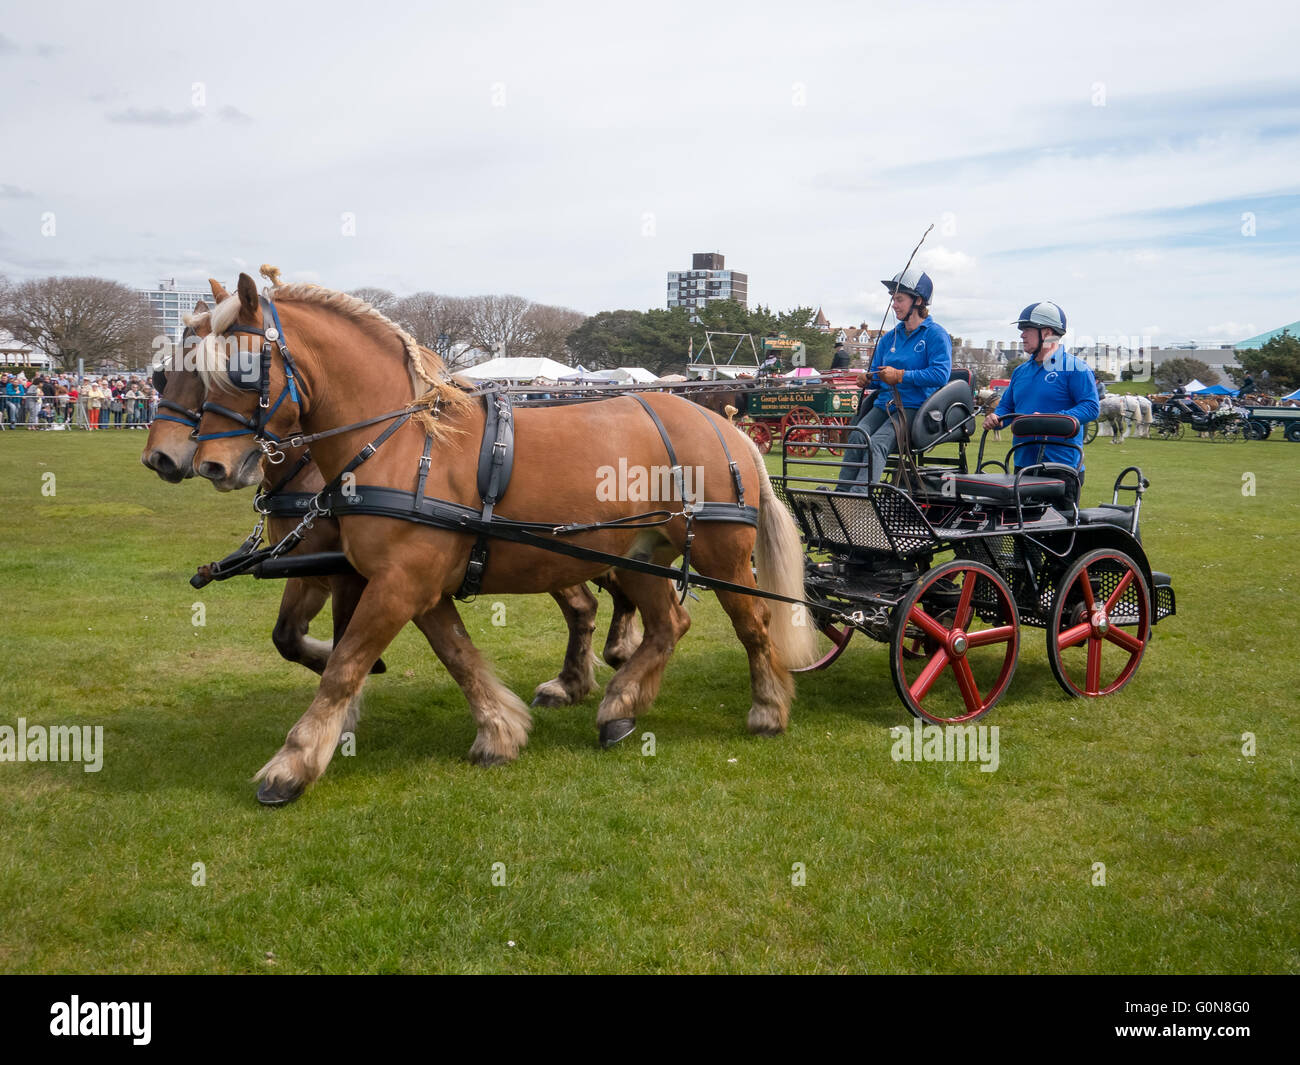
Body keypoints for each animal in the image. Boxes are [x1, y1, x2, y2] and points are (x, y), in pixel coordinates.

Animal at [189, 270, 811, 806]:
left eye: (243, 371)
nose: (208, 464)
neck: (402, 442)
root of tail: (725, 424)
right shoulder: (417, 587)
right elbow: (459, 657)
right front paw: (499, 730)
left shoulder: (397, 585)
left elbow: (344, 667)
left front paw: (292, 764)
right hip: (638, 555)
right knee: (668, 625)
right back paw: (619, 706)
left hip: (720, 554)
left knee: (754, 625)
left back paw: (767, 710)